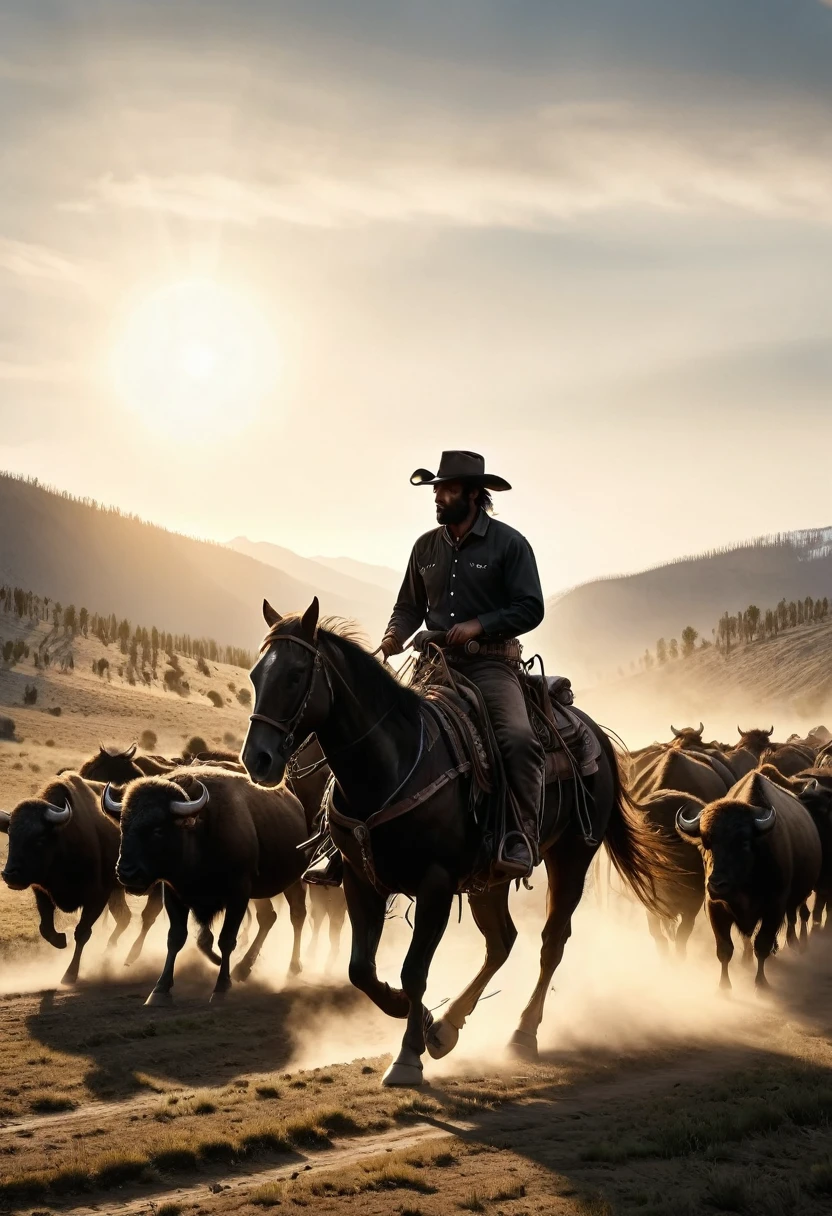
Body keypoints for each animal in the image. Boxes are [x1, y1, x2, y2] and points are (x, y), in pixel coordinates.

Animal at [0, 773, 150, 982]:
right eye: (11, 836)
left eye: (39, 838)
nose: (10, 875)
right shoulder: (42, 892)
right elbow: (46, 929)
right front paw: (62, 940)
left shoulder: (97, 897)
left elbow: (82, 932)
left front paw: (70, 973)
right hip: (117, 891)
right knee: (124, 917)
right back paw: (108, 953)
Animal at [103, 773, 308, 1001]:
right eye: (123, 826)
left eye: (158, 830)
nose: (126, 873)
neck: (196, 833)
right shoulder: (175, 895)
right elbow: (179, 938)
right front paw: (160, 989)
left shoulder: (238, 895)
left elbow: (226, 939)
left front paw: (221, 986)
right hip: (261, 894)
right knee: (268, 918)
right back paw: (243, 968)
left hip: (294, 882)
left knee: (297, 915)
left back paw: (291, 968)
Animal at [240, 603, 671, 1089]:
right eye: (256, 675)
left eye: (296, 675)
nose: (257, 759)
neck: (393, 762)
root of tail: (592, 731)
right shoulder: (359, 879)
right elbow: (361, 970)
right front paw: (416, 1015)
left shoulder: (436, 884)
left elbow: (414, 970)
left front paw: (408, 1057)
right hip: (490, 878)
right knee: (502, 941)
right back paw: (447, 1028)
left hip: (572, 857)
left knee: (551, 942)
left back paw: (523, 1032)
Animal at [681, 778, 822, 987]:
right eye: (706, 843)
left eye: (744, 843)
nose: (717, 884)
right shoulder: (715, 907)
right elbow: (725, 949)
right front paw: (724, 987)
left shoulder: (774, 908)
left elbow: (762, 945)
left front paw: (760, 983)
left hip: (798, 898)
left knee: (795, 917)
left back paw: (796, 944)